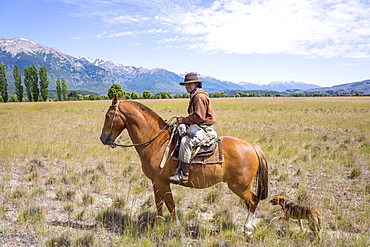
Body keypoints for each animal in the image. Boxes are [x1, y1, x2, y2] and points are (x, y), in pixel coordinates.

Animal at [100, 95, 268, 232]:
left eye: (108, 116)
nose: (103, 138)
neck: (156, 142)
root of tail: (252, 147)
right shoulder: (155, 182)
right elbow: (159, 203)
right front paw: (158, 222)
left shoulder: (162, 182)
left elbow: (171, 204)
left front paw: (176, 226)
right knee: (251, 202)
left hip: (238, 186)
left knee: (252, 200)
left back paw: (247, 228)